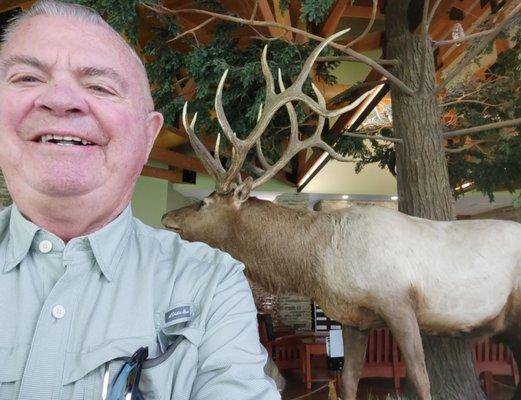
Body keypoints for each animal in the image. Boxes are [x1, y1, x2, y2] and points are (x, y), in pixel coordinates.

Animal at [162, 30, 520, 400]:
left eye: (204, 203)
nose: (167, 217)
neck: (322, 261)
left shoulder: (399, 303)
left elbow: (420, 381)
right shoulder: (353, 318)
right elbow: (348, 380)